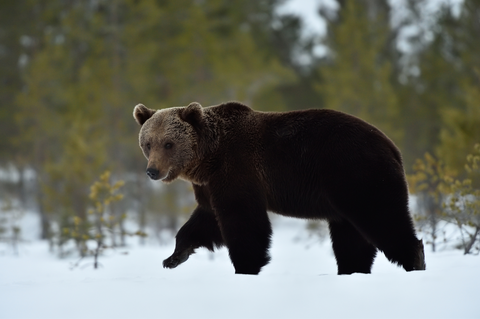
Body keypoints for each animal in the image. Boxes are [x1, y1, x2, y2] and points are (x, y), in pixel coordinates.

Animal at [132, 102, 424, 276]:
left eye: (168, 143)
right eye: (148, 143)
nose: (152, 171)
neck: (207, 158)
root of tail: (392, 146)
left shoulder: (238, 169)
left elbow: (244, 221)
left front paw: (246, 266)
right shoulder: (209, 185)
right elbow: (204, 220)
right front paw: (173, 257)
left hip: (356, 174)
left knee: (382, 218)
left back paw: (415, 261)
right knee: (351, 236)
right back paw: (352, 270)